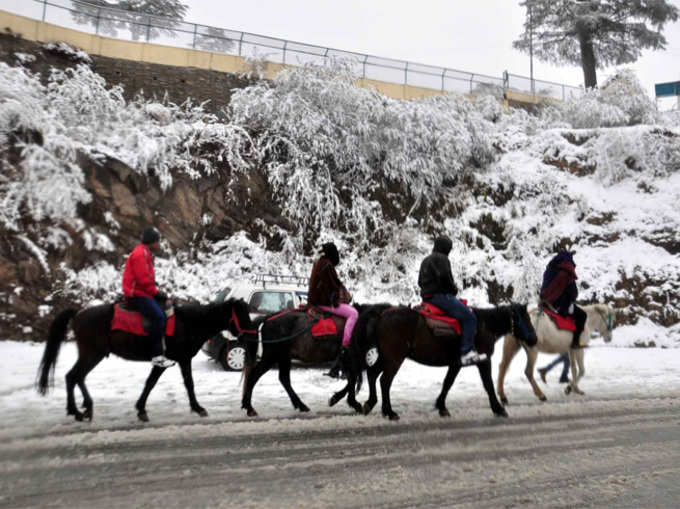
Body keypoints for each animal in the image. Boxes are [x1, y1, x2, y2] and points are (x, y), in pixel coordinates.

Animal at [35, 298, 252, 420]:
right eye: (242, 314)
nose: (250, 336)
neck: (189, 323)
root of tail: (79, 313)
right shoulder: (179, 360)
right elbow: (186, 383)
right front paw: (198, 408)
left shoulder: (169, 362)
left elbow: (150, 383)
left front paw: (140, 409)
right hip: (92, 354)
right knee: (73, 376)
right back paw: (77, 411)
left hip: (92, 354)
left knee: (75, 377)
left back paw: (84, 408)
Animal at [330, 304, 536, 418]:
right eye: (524, 318)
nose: (534, 339)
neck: (484, 325)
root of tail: (382, 315)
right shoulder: (483, 361)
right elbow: (488, 385)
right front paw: (499, 409)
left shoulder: (456, 363)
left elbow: (447, 383)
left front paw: (442, 407)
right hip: (394, 358)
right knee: (384, 381)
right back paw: (389, 412)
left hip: (386, 357)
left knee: (373, 375)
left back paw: (369, 403)